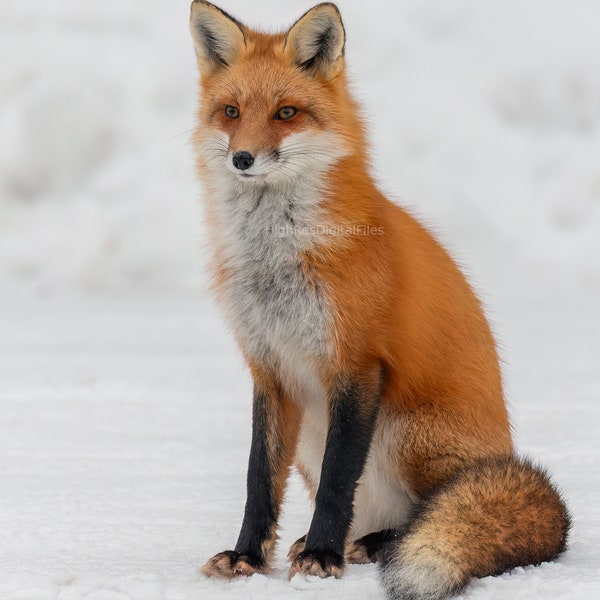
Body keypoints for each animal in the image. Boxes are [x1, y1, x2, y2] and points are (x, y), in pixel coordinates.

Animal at [190, 2, 568, 596]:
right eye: (230, 111)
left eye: (286, 112)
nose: (243, 159)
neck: (279, 255)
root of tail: (503, 453)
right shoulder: (269, 368)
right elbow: (258, 481)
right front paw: (247, 557)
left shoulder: (357, 362)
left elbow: (337, 481)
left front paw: (321, 558)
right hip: (311, 432)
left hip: (403, 430)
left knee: (418, 515)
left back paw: (370, 544)